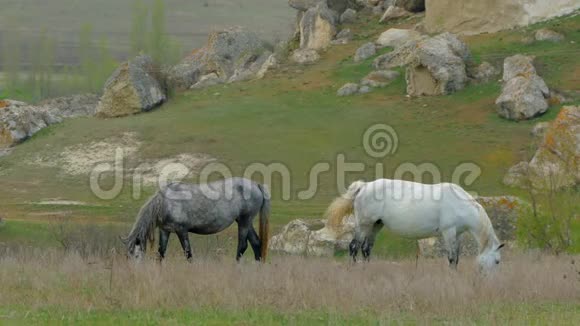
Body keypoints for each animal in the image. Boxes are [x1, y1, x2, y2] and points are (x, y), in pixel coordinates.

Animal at [121, 177, 270, 264]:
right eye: (127, 256)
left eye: (135, 255)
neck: (166, 202)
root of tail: (256, 185)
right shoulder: (165, 230)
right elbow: (161, 253)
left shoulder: (181, 230)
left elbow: (188, 253)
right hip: (244, 221)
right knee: (256, 243)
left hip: (245, 221)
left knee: (243, 246)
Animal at [326, 178, 502, 270]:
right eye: (497, 261)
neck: (459, 203)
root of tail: (364, 186)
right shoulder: (448, 232)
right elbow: (451, 258)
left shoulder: (456, 234)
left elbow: (456, 257)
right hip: (364, 225)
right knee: (354, 247)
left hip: (375, 225)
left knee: (366, 249)